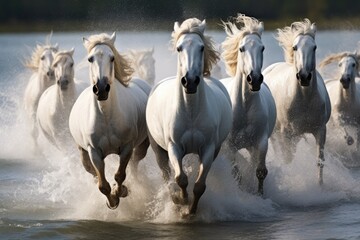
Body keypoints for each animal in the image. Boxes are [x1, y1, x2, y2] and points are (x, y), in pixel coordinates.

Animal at [68, 32, 150, 209]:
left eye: (112, 58)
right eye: (90, 59)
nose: (101, 89)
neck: (106, 117)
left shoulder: (127, 147)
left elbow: (120, 175)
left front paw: (121, 192)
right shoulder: (94, 152)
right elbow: (102, 185)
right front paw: (111, 201)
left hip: (142, 145)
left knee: (134, 165)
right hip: (83, 153)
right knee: (91, 172)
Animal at [146, 17, 232, 215]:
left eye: (201, 47)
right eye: (179, 48)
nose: (190, 81)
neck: (191, 111)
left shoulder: (208, 148)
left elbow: (199, 185)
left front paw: (191, 210)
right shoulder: (174, 147)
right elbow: (180, 179)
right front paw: (182, 201)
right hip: (158, 149)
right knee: (166, 174)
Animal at [219, 14, 276, 195]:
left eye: (262, 48)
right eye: (242, 49)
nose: (255, 79)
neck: (244, 107)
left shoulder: (261, 142)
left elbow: (259, 172)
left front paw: (259, 195)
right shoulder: (229, 146)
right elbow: (237, 174)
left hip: (251, 147)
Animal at [262, 19, 330, 184]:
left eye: (314, 47)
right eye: (295, 47)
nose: (304, 76)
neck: (305, 99)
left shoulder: (320, 130)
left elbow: (320, 160)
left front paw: (320, 185)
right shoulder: (286, 133)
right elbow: (288, 160)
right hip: (277, 134)